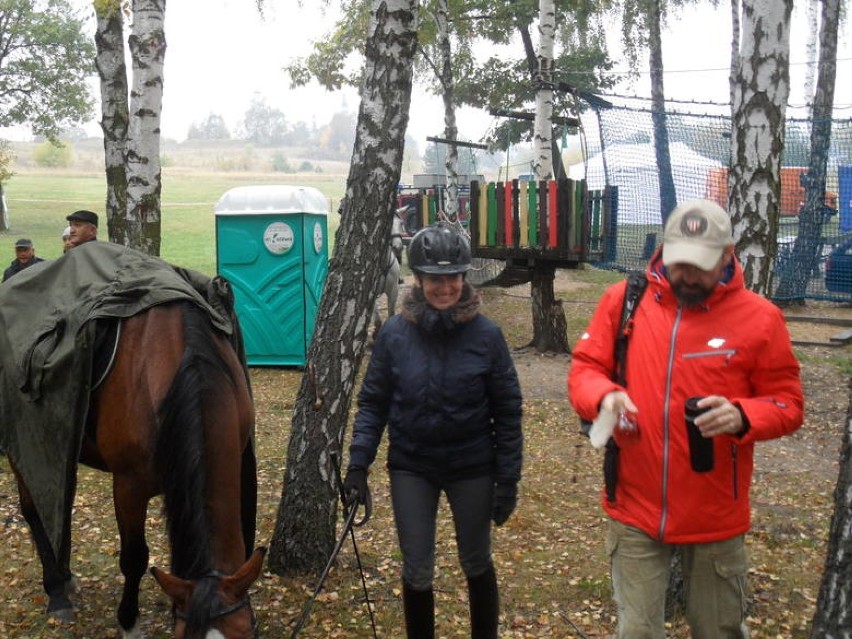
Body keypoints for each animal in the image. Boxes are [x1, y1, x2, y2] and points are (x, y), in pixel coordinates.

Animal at [9, 302, 262, 639]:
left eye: (248, 634)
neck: (187, 363)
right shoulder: (129, 487)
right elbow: (134, 557)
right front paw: (128, 620)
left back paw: (66, 577)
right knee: (33, 510)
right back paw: (56, 592)